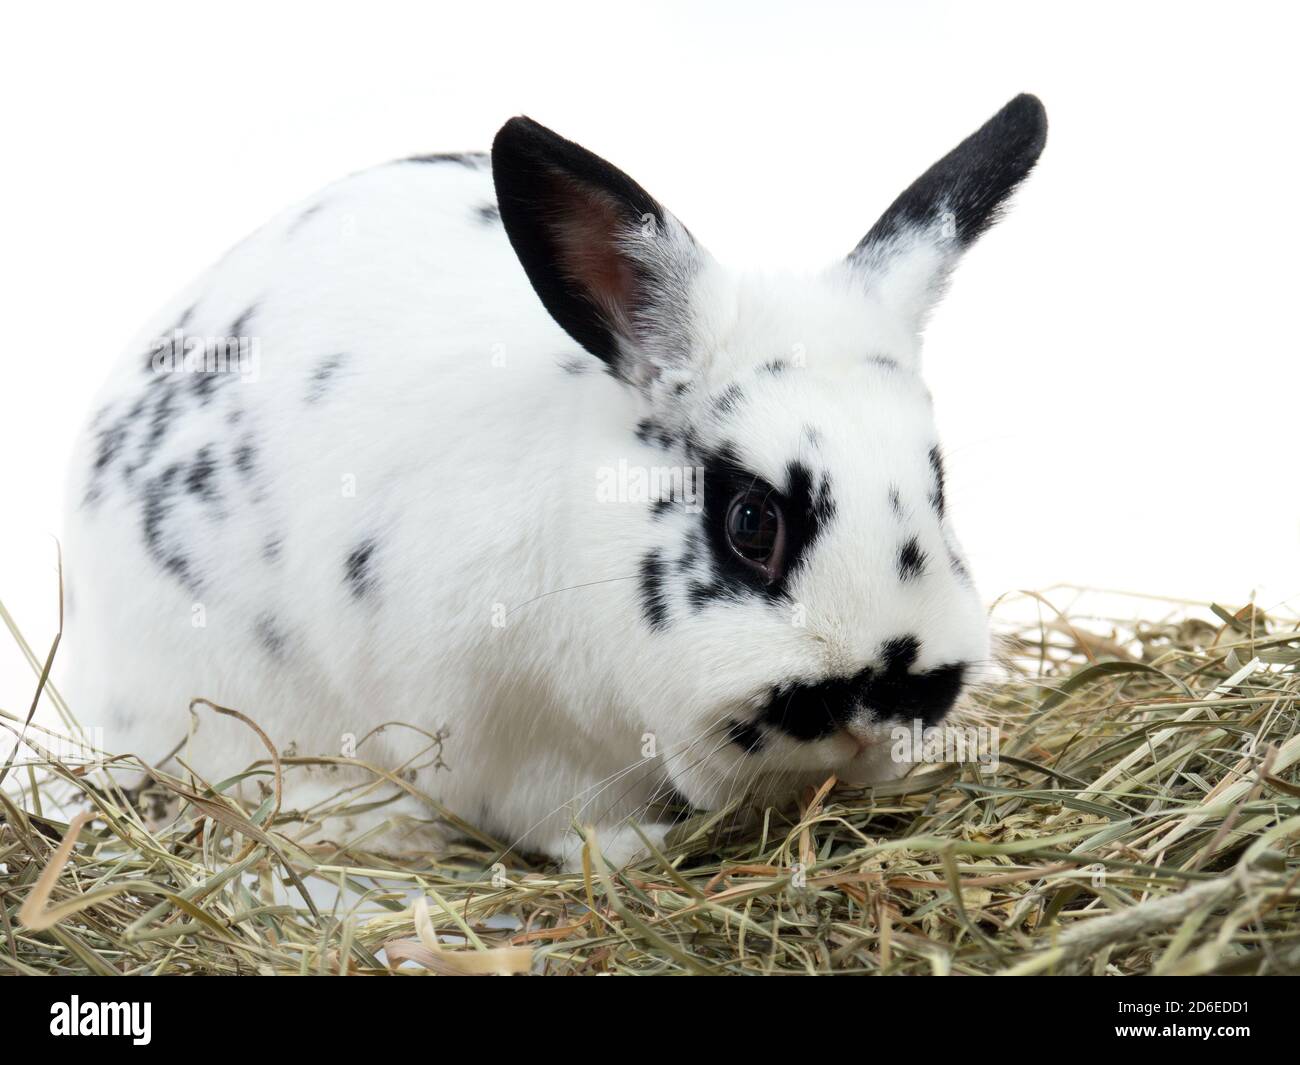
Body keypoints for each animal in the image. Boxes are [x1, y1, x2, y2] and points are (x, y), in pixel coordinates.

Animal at [65, 93, 1050, 868]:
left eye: (940, 488)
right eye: (750, 522)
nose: (887, 697)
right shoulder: (504, 740)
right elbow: (565, 821)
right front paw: (635, 850)